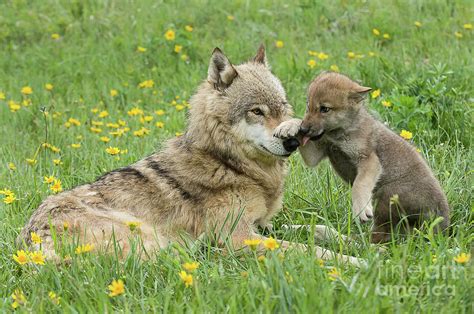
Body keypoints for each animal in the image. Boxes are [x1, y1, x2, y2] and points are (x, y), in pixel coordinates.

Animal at [16, 46, 362, 264]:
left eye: (283, 108)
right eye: (257, 112)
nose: (291, 141)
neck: (229, 164)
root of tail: (28, 250)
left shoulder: (261, 225)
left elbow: (320, 231)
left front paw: (359, 241)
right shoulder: (241, 235)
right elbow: (311, 251)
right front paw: (359, 262)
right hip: (153, 237)